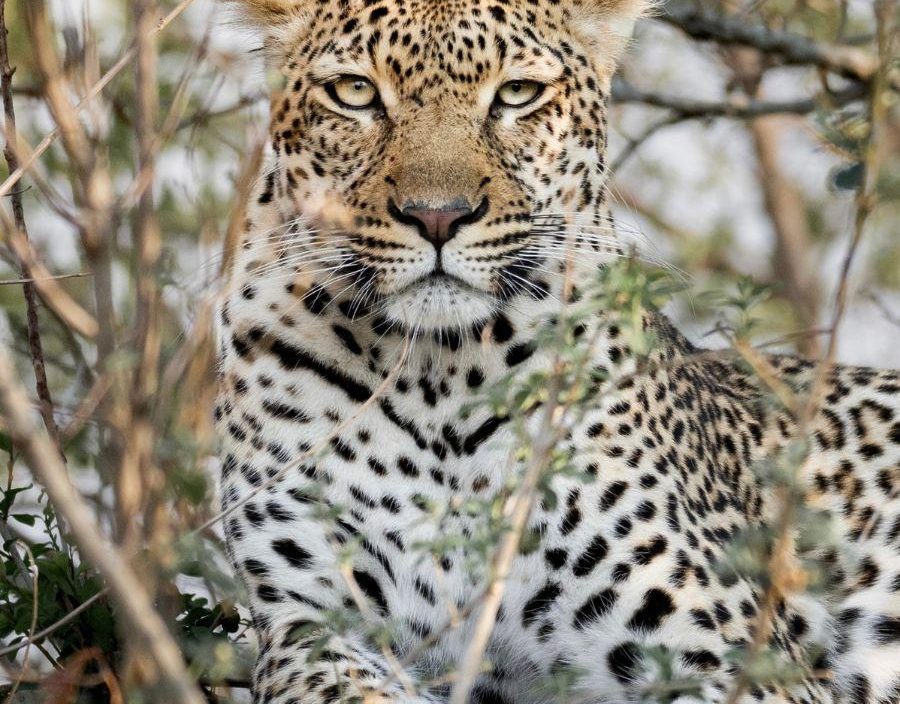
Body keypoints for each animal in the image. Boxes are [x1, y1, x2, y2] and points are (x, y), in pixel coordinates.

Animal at [214, 0, 900, 702]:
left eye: (517, 94)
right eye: (354, 92)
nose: (438, 216)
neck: (439, 379)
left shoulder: (726, 657)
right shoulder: (309, 623)